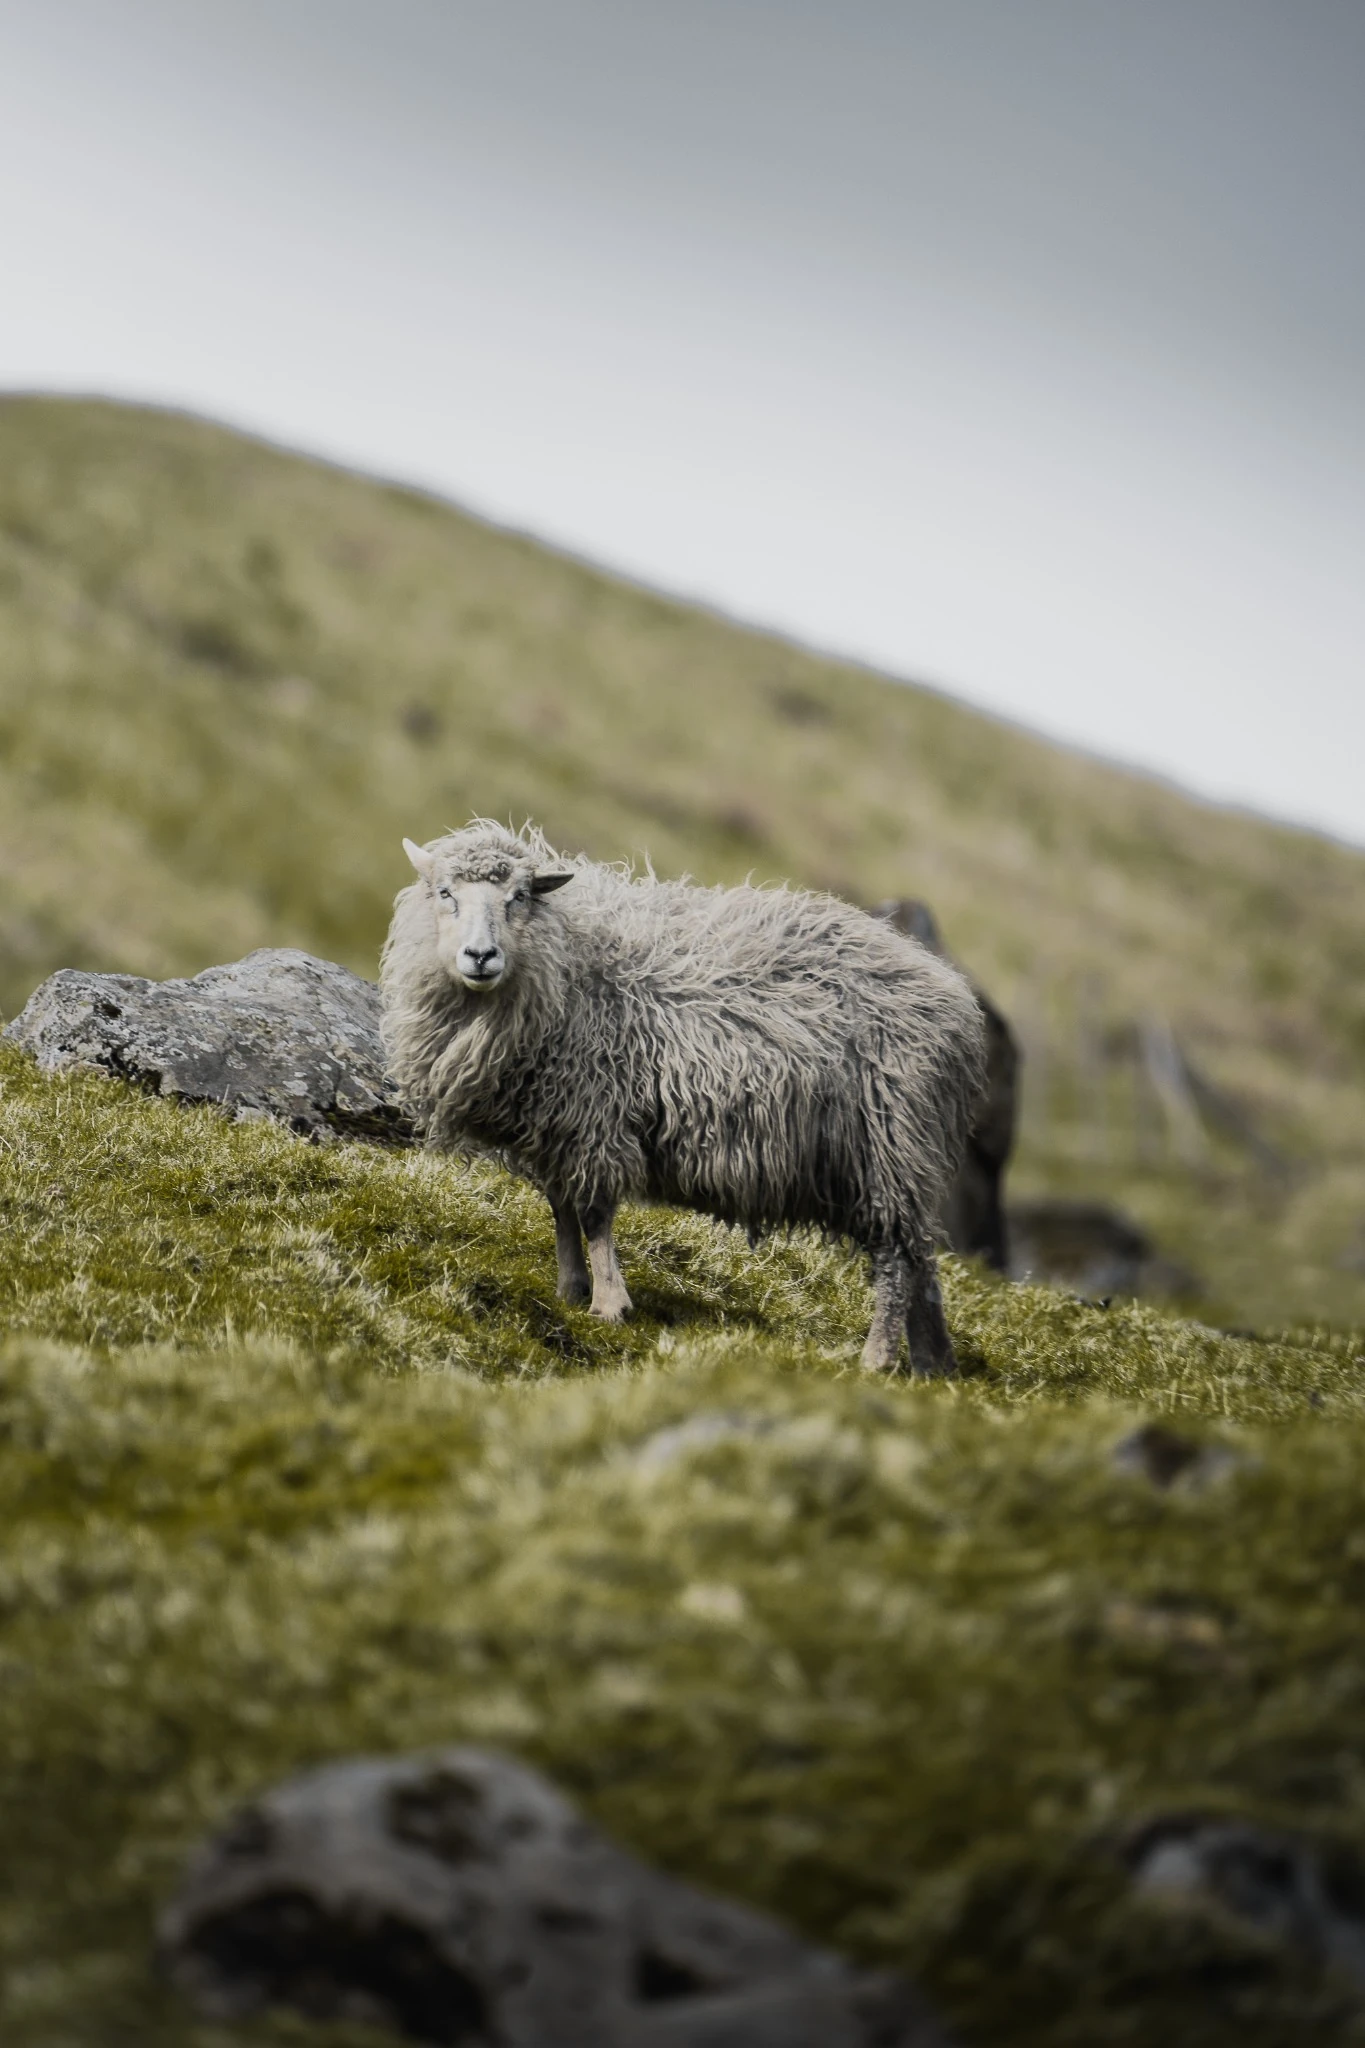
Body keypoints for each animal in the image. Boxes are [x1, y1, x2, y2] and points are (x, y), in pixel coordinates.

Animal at [381, 822, 987, 1374]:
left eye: (520, 897)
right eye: (444, 893)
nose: (480, 956)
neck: (568, 962)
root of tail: (954, 1001)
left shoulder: (595, 1116)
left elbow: (594, 1214)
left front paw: (608, 1304)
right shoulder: (557, 1127)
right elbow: (562, 1211)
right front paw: (570, 1290)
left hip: (889, 1147)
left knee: (896, 1260)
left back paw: (878, 1358)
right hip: (900, 1159)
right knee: (921, 1259)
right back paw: (934, 1364)